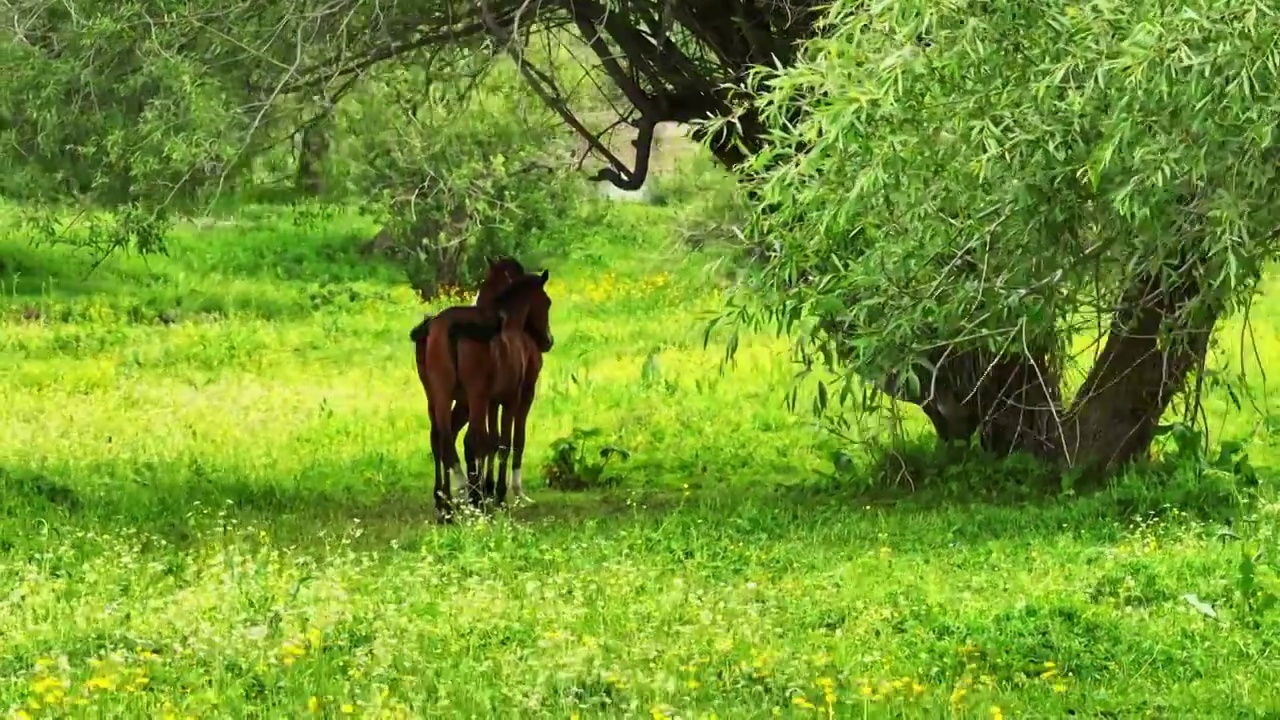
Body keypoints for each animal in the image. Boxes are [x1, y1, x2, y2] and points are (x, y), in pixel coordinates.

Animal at [414, 266, 550, 517]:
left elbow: (492, 442)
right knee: (469, 440)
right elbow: (507, 442)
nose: (548, 340)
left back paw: (446, 501)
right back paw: (470, 494)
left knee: (441, 438)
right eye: (547, 302)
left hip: (440, 395)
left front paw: (489, 489)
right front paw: (501, 494)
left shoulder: (492, 400)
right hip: (474, 398)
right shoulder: (514, 398)